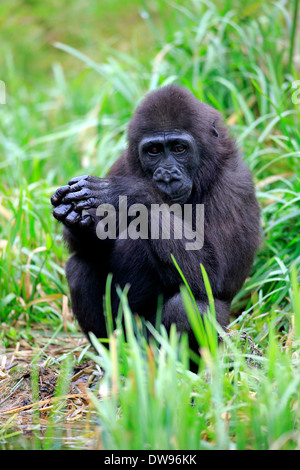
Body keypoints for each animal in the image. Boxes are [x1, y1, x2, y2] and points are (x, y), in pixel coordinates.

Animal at [51, 84, 260, 350]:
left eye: (179, 148)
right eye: (153, 151)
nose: (167, 176)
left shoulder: (233, 182)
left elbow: (213, 274)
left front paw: (131, 193)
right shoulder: (123, 163)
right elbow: (96, 249)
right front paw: (79, 221)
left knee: (190, 306)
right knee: (81, 265)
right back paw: (112, 352)